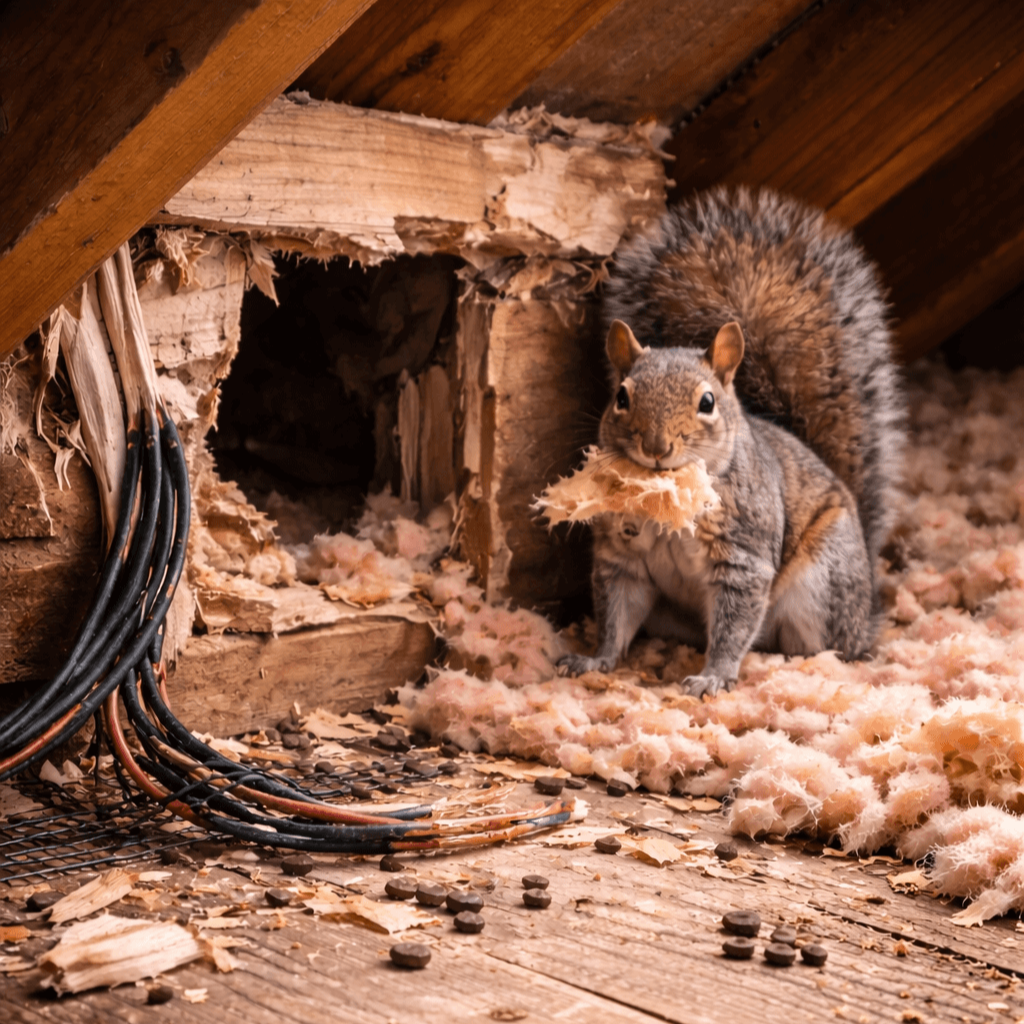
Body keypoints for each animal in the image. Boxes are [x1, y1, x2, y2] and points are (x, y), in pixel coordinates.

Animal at [557, 187, 904, 696]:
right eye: (621, 396)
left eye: (707, 402)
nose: (656, 448)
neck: (669, 509)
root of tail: (867, 612)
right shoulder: (621, 558)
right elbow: (616, 615)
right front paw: (594, 660)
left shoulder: (743, 557)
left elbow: (733, 624)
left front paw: (713, 677)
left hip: (823, 581)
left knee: (825, 645)